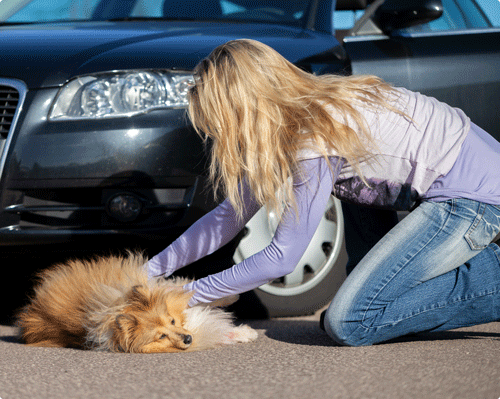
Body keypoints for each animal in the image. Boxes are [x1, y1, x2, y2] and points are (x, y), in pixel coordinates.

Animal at [15, 253, 258, 354]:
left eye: (171, 320)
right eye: (161, 336)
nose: (188, 339)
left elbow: (184, 288)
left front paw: (232, 298)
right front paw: (245, 333)